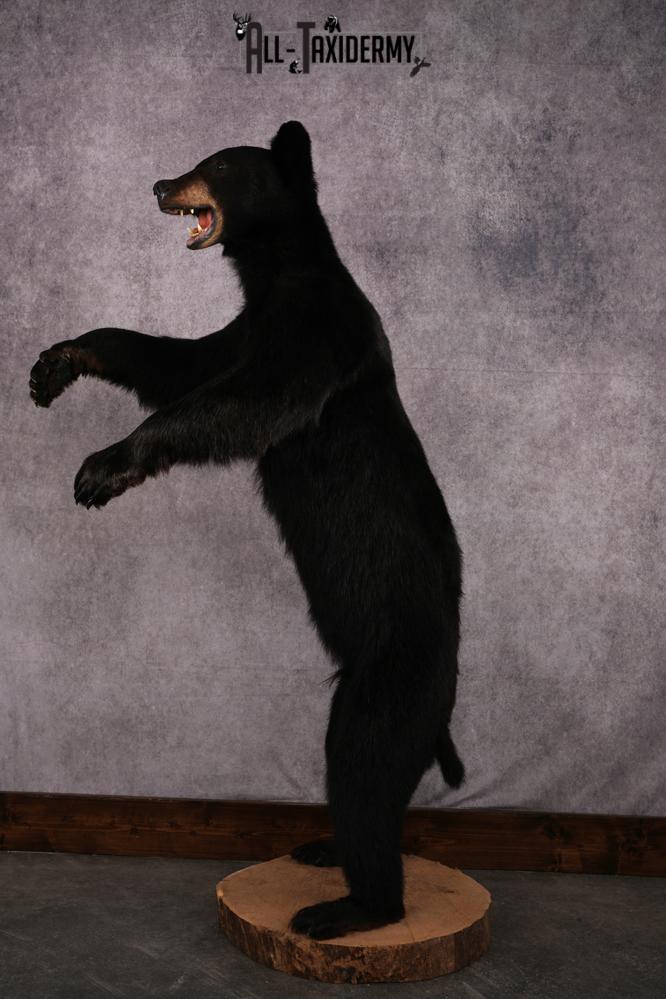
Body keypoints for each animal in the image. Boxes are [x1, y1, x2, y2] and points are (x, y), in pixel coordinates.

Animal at [29, 121, 465, 940]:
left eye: (219, 164)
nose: (158, 184)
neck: (280, 274)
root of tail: (448, 696)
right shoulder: (242, 332)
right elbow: (176, 361)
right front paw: (57, 361)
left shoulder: (315, 339)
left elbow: (237, 403)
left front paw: (103, 467)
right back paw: (323, 849)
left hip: (389, 680)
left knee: (362, 768)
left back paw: (342, 908)